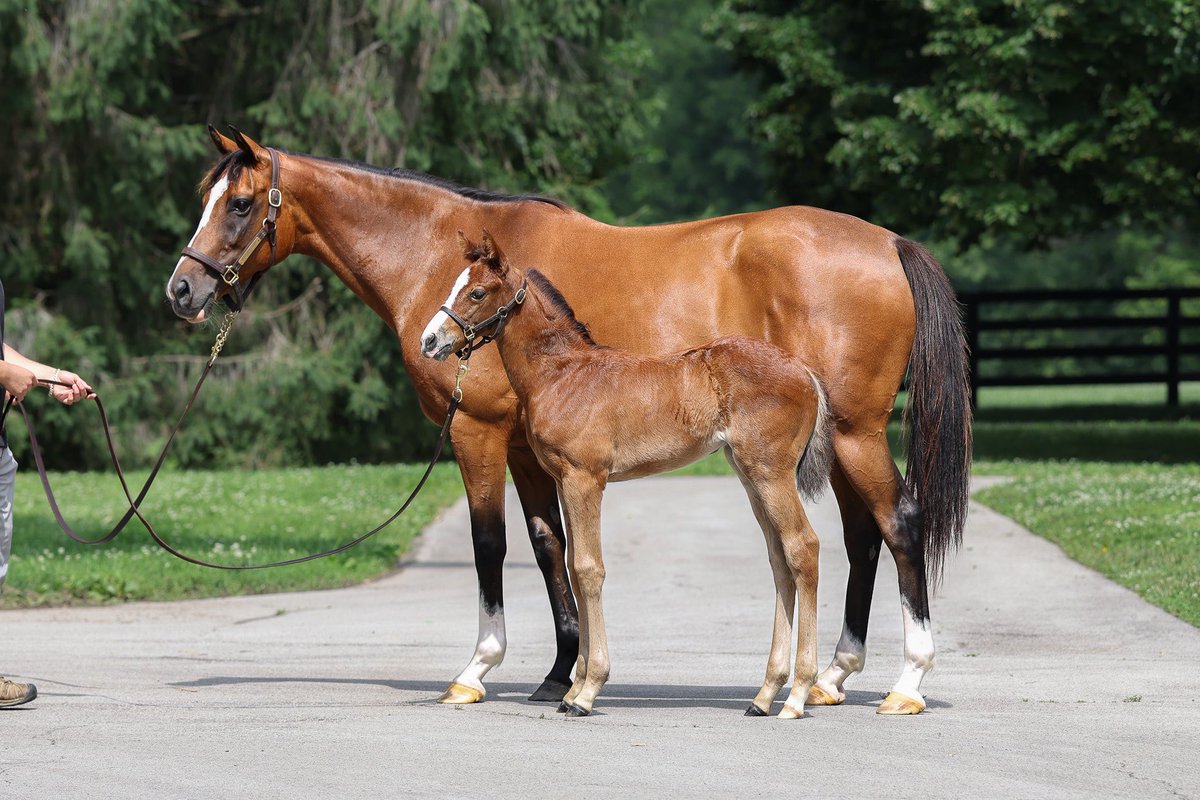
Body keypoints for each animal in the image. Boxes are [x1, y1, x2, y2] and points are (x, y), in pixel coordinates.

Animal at [421, 231, 835, 718]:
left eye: (477, 292)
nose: (429, 341)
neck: (563, 375)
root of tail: (803, 371)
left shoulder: (586, 479)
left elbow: (588, 569)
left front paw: (587, 692)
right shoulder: (564, 481)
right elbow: (574, 567)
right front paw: (572, 691)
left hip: (771, 473)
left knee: (803, 548)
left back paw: (798, 694)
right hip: (750, 476)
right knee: (779, 560)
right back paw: (764, 694)